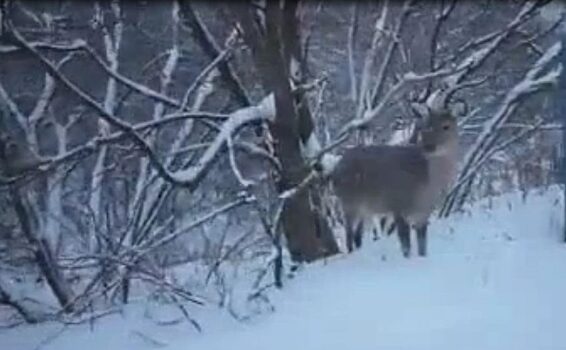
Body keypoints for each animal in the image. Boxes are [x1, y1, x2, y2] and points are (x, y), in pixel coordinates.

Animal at [328, 87, 466, 258]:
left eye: (446, 126)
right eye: (425, 126)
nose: (429, 146)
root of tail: (336, 168)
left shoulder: (423, 212)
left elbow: (422, 246)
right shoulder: (398, 205)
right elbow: (405, 245)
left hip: (365, 209)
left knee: (357, 235)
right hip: (349, 202)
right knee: (348, 234)